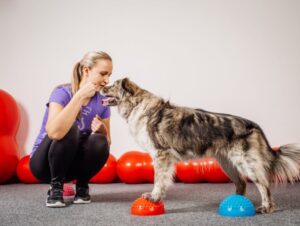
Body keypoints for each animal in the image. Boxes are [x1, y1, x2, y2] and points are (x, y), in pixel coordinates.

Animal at [101, 77, 300, 214]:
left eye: (113, 86)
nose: (102, 86)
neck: (137, 105)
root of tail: (254, 125)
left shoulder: (161, 155)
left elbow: (159, 180)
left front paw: (155, 197)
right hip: (227, 163)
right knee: (242, 183)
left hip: (246, 162)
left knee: (263, 185)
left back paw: (266, 207)